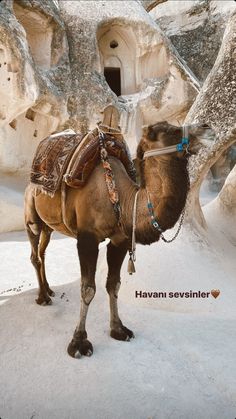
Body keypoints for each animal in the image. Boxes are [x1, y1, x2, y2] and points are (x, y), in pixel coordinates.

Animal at [24, 116, 214, 360]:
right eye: (167, 131)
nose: (207, 127)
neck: (121, 199)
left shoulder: (120, 241)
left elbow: (113, 285)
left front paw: (119, 329)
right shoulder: (87, 239)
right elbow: (88, 288)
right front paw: (79, 342)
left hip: (50, 225)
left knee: (43, 251)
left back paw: (48, 289)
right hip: (32, 214)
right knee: (35, 254)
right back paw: (43, 297)